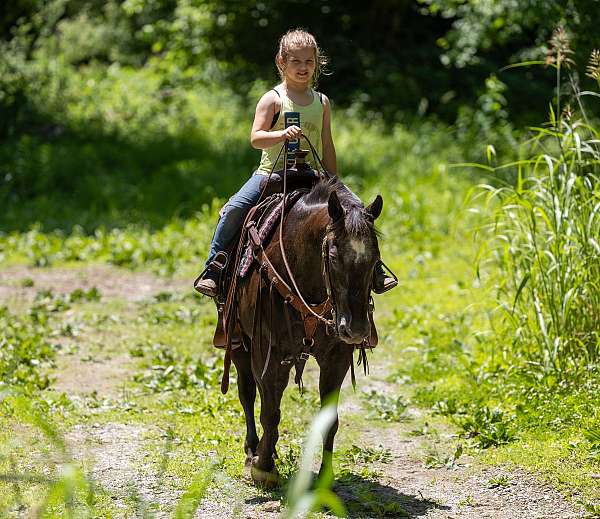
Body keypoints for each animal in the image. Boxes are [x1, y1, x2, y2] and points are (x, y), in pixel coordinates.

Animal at [229, 178, 380, 488]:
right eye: (333, 257)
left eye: (374, 260)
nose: (356, 330)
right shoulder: (267, 352)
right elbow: (270, 412)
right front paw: (264, 467)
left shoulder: (336, 357)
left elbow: (329, 419)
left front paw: (325, 479)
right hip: (240, 343)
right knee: (248, 392)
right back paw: (253, 451)